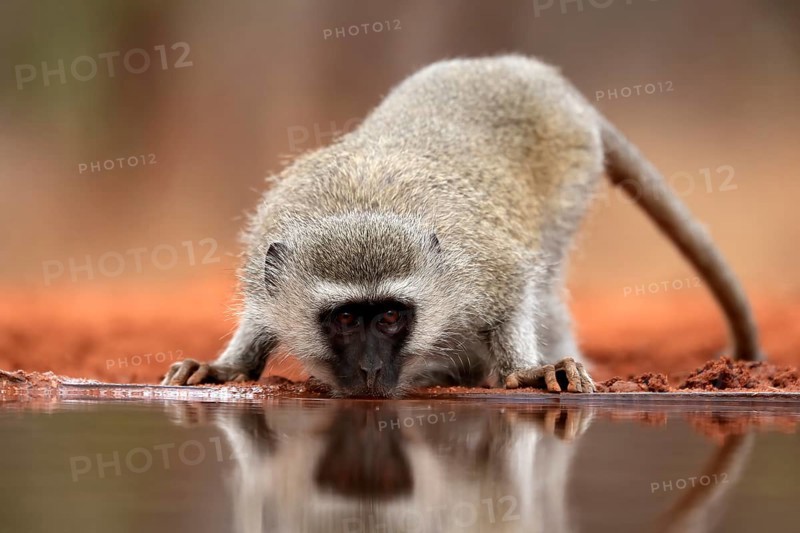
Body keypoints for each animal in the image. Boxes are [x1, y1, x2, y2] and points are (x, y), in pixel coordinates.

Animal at [162, 55, 761, 396]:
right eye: (347, 319)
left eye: (389, 318)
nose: (371, 374)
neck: (361, 205)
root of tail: (536, 75)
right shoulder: (267, 255)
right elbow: (260, 315)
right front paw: (229, 367)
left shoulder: (484, 270)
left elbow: (517, 291)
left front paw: (525, 370)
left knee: (545, 283)